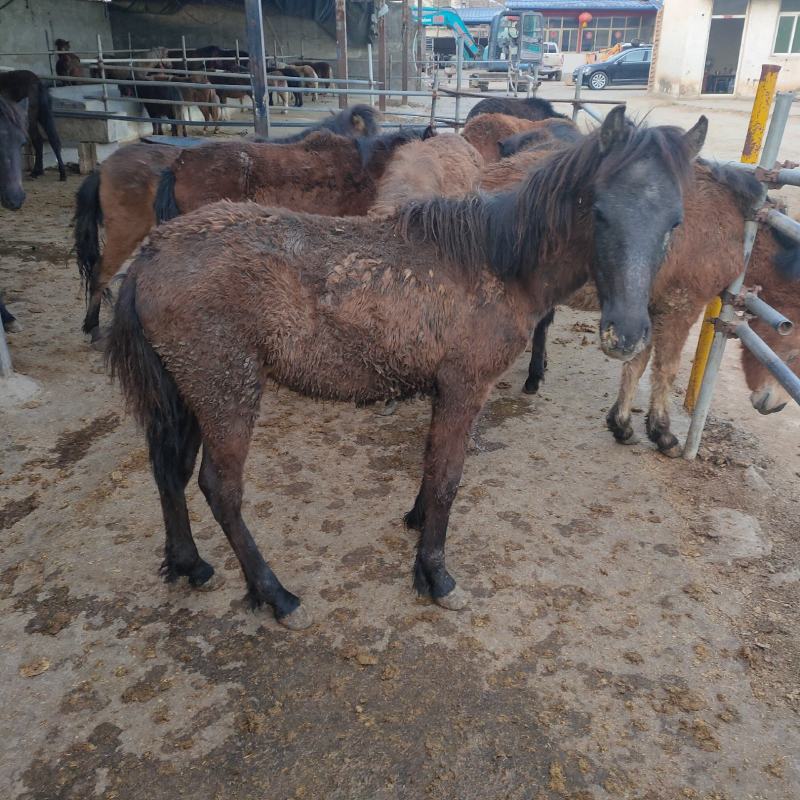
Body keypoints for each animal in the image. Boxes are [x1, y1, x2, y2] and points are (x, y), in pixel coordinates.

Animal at [519, 161, 800, 455]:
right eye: (793, 355)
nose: (776, 406)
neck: (729, 222)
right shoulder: (681, 306)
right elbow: (666, 368)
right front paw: (663, 434)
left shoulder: (649, 310)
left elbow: (637, 364)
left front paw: (622, 425)